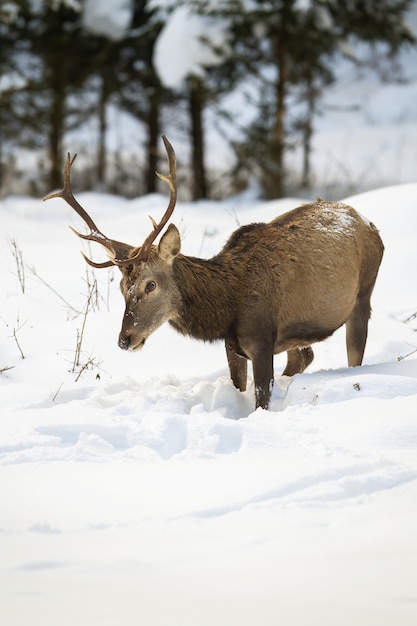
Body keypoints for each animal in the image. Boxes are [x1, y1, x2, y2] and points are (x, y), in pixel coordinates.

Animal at [44, 135, 384, 410]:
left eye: (150, 285)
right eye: (121, 288)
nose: (125, 339)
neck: (228, 307)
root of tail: (369, 223)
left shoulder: (262, 339)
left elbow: (261, 400)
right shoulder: (233, 346)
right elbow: (239, 387)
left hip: (363, 294)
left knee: (353, 353)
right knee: (304, 356)